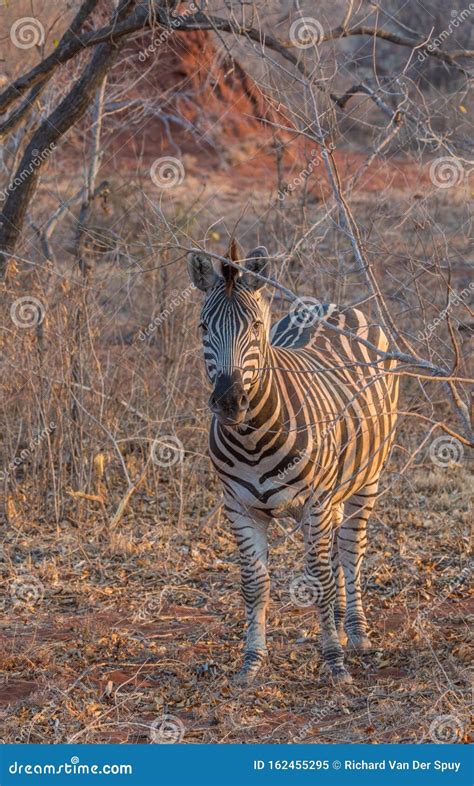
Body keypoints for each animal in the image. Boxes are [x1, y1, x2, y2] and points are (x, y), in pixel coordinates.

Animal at [187, 242, 398, 684]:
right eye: (203, 327)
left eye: (255, 328)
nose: (229, 403)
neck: (251, 438)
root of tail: (332, 304)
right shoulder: (239, 507)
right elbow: (254, 584)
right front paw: (251, 661)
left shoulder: (314, 501)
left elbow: (318, 578)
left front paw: (334, 660)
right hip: (334, 492)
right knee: (336, 550)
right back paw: (339, 620)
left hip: (367, 478)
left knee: (350, 550)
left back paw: (355, 632)